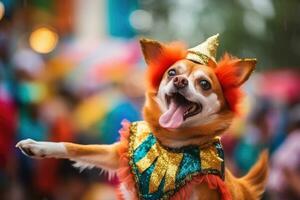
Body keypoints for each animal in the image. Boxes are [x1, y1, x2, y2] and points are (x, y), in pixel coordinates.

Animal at [17, 34, 268, 200]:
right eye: (171, 73)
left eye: (204, 84)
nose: (179, 81)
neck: (172, 145)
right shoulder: (117, 155)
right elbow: (77, 147)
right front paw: (38, 146)